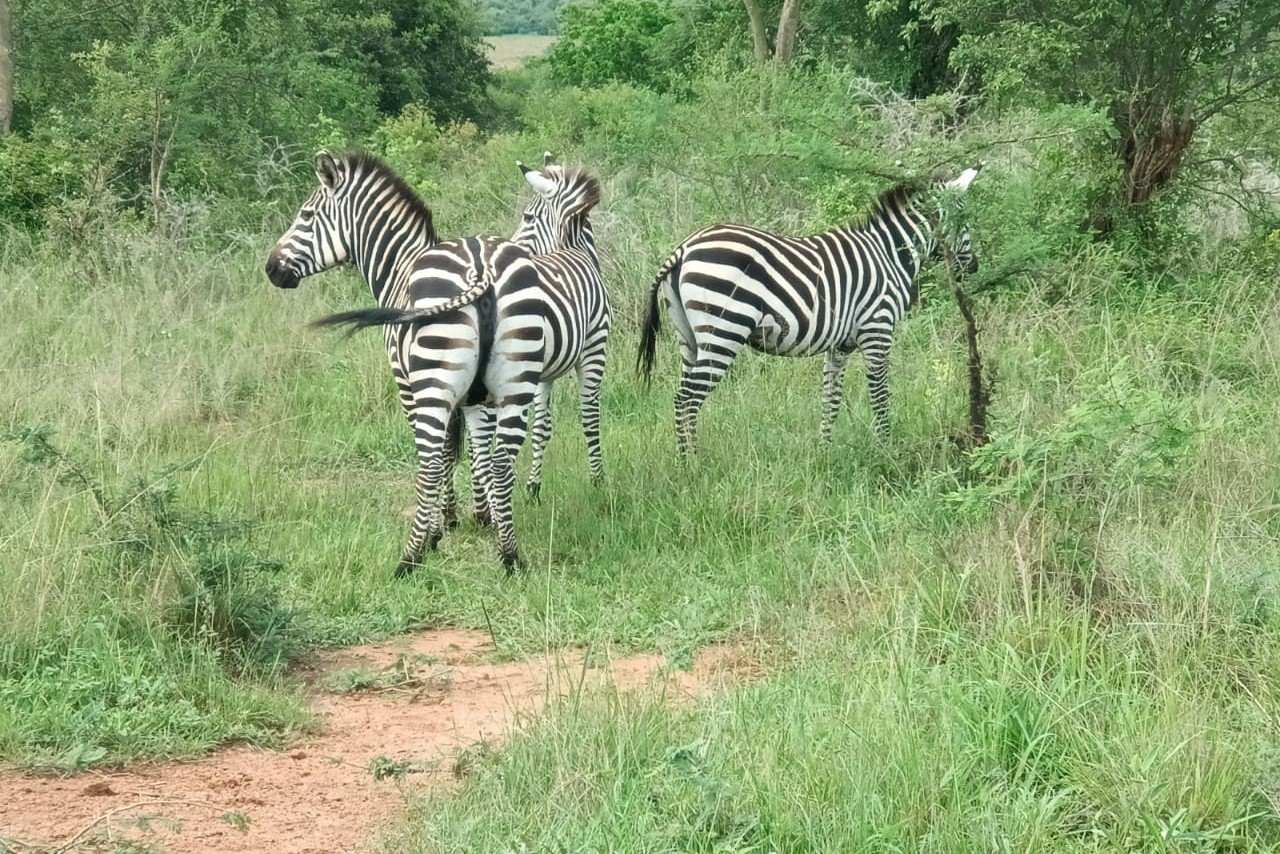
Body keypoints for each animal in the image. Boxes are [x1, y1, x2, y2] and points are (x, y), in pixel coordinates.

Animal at [264, 151, 545, 573]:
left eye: (307, 215)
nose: (271, 268)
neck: (400, 265)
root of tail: (480, 268)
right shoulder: (476, 399)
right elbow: (472, 449)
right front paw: (479, 517)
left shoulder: (406, 383)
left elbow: (441, 455)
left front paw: (439, 529)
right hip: (518, 384)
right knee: (502, 464)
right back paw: (510, 556)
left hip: (432, 382)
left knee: (427, 464)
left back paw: (410, 557)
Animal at [637, 169, 977, 460]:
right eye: (965, 221)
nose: (974, 268)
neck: (890, 254)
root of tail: (683, 249)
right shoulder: (877, 331)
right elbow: (880, 396)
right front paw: (886, 451)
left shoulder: (839, 345)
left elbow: (831, 399)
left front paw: (824, 452)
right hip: (723, 330)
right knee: (688, 398)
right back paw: (692, 465)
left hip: (689, 338)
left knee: (680, 397)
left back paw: (688, 460)